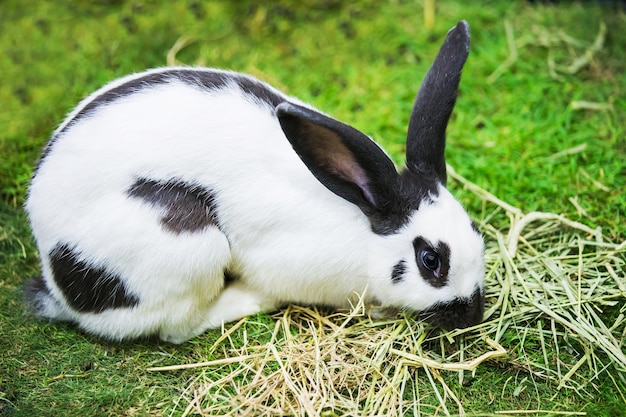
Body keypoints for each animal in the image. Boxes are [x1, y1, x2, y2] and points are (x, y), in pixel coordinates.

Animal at [24, 21, 482, 342]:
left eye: (476, 232)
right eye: (430, 260)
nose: (472, 315)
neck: (362, 224)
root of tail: (56, 285)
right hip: (187, 242)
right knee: (176, 327)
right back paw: (248, 299)